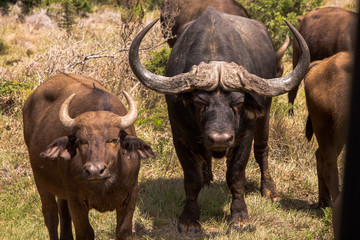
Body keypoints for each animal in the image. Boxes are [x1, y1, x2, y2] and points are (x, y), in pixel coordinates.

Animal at [22, 74, 155, 239]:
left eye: (114, 139)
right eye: (81, 141)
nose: (95, 170)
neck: (105, 185)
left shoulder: (131, 195)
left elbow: (123, 231)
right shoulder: (76, 200)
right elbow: (85, 232)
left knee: (63, 211)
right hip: (41, 181)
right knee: (51, 215)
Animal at [129, 7, 310, 232]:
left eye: (238, 102)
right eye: (199, 102)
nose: (220, 139)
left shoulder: (244, 136)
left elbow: (236, 175)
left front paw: (240, 218)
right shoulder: (180, 136)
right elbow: (192, 179)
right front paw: (189, 219)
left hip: (265, 115)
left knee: (262, 151)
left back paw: (270, 191)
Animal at [306, 51, 352, 207]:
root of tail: (320, 64)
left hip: (337, 135)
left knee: (320, 156)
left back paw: (324, 202)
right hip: (324, 128)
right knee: (329, 165)